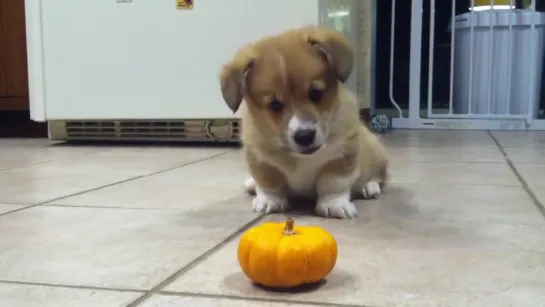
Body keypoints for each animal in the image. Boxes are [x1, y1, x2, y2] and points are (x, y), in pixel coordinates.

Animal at [217, 26, 386, 219]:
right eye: (274, 105)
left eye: (316, 93)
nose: (304, 136)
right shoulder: (260, 159)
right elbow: (269, 183)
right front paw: (269, 201)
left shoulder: (342, 157)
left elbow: (333, 184)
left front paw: (334, 205)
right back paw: (251, 184)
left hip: (376, 154)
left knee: (379, 175)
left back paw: (369, 186)